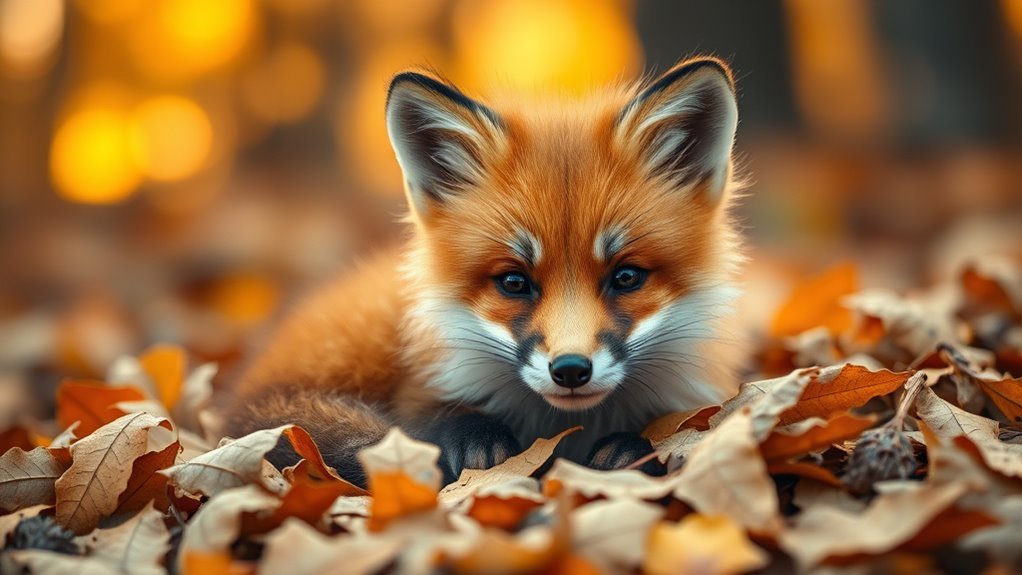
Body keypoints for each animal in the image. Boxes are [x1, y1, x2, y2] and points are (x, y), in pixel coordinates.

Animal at [221, 56, 744, 486]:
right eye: (514, 282)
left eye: (627, 277)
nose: (570, 370)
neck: (564, 430)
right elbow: (429, 419)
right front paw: (471, 439)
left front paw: (632, 452)